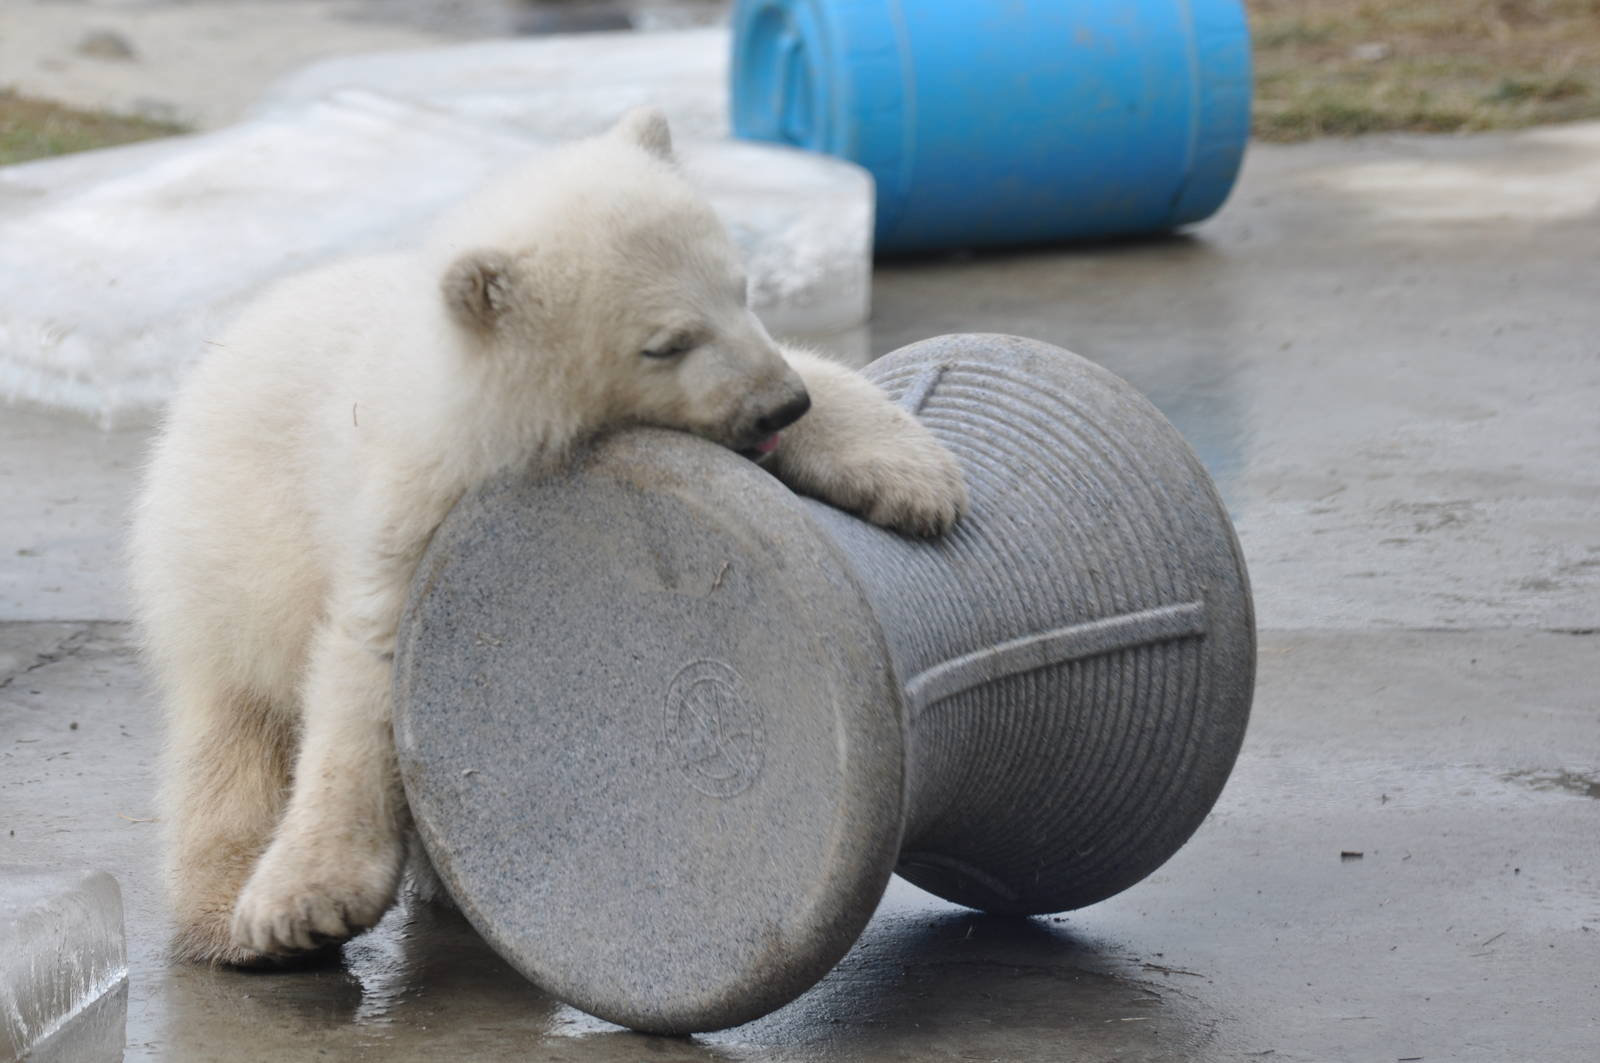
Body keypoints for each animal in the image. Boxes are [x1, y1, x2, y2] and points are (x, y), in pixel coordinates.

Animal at [129, 109, 967, 968]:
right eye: (665, 342)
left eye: (743, 289)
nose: (777, 405)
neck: (472, 391)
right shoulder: (416, 499)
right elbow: (369, 665)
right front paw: (300, 906)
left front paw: (915, 478)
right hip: (225, 553)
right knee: (233, 732)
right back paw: (225, 911)